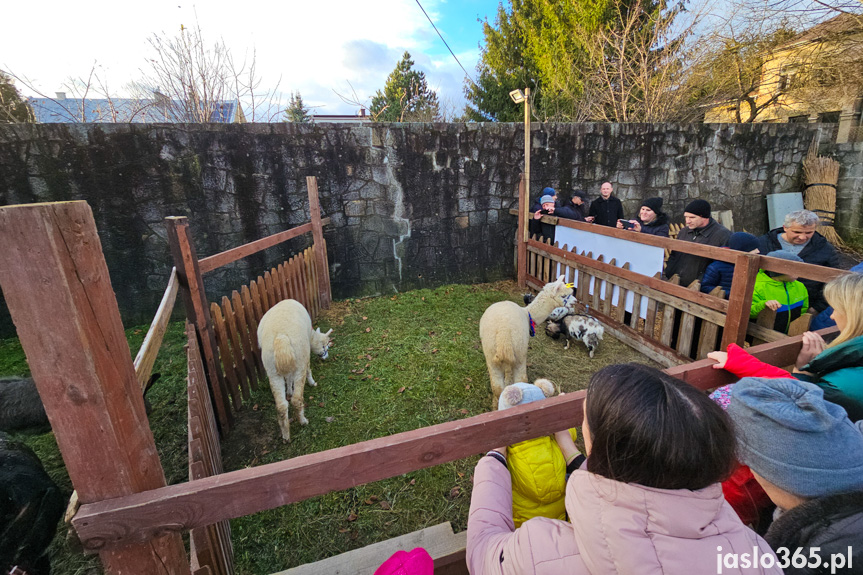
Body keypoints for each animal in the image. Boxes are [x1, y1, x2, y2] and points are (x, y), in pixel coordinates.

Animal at [255, 300, 332, 444]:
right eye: (324, 345)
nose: (326, 356)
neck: (311, 335)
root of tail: (281, 338)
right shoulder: (305, 357)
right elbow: (308, 369)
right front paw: (312, 383)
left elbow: (288, 378)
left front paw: (289, 390)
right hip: (299, 358)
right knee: (296, 399)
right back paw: (303, 421)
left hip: (272, 370)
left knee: (281, 406)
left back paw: (286, 436)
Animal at [480, 276, 572, 408]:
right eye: (564, 295)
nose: (574, 303)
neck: (527, 313)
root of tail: (503, 331)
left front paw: (507, 381)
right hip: (520, 350)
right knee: (521, 379)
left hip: (490, 352)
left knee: (497, 386)